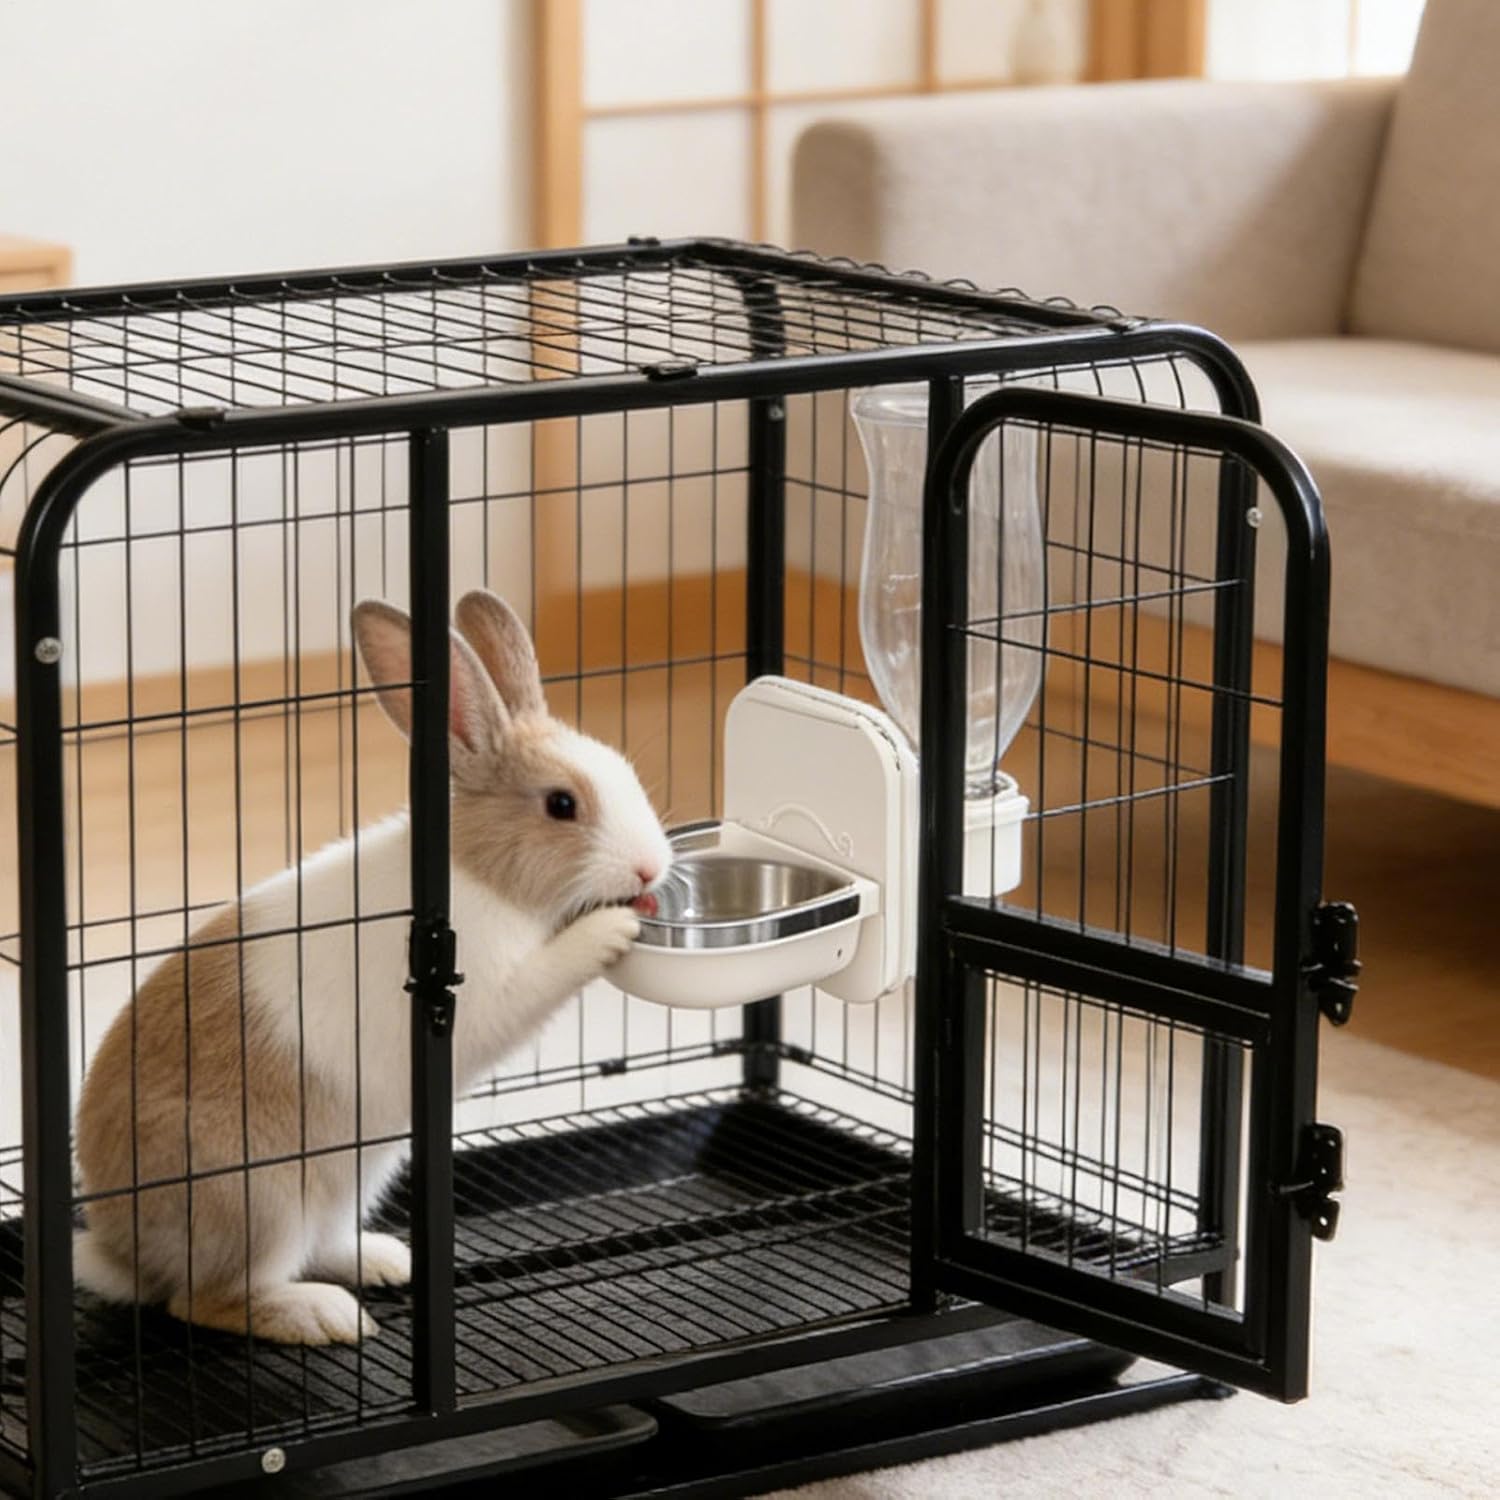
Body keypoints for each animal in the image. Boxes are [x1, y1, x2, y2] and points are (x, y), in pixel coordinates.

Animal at [73, 588, 672, 1346]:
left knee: (313, 1249)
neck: (476, 871)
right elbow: (548, 972)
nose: (652, 867)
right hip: (260, 1196)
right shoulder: (483, 993)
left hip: (354, 1177)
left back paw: (388, 1260)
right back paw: (325, 1319)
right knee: (206, 1299)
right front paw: (613, 927)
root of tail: (118, 1248)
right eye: (562, 805)